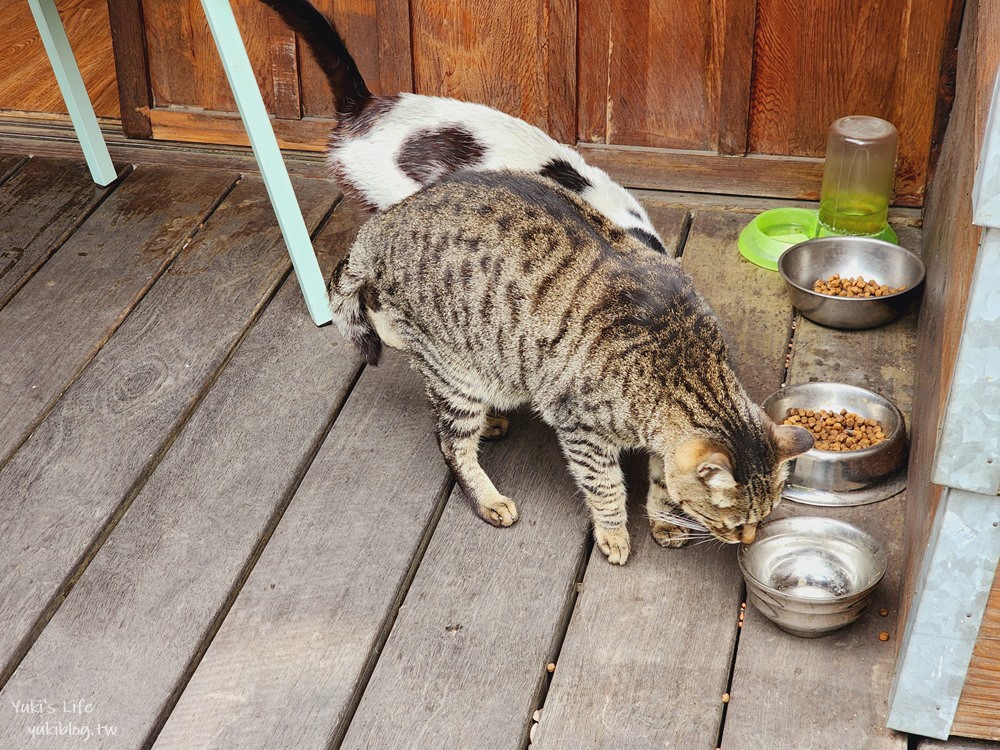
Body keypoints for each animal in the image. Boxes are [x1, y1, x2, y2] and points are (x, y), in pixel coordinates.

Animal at [328, 175, 812, 564]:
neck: (686, 367)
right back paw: (488, 497)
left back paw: (493, 422)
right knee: (449, 439)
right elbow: (606, 488)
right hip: (458, 373)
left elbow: (661, 482)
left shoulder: (663, 442)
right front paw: (615, 533)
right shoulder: (581, 430)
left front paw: (664, 519)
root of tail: (384, 221)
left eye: (765, 517)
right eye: (735, 522)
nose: (746, 541)